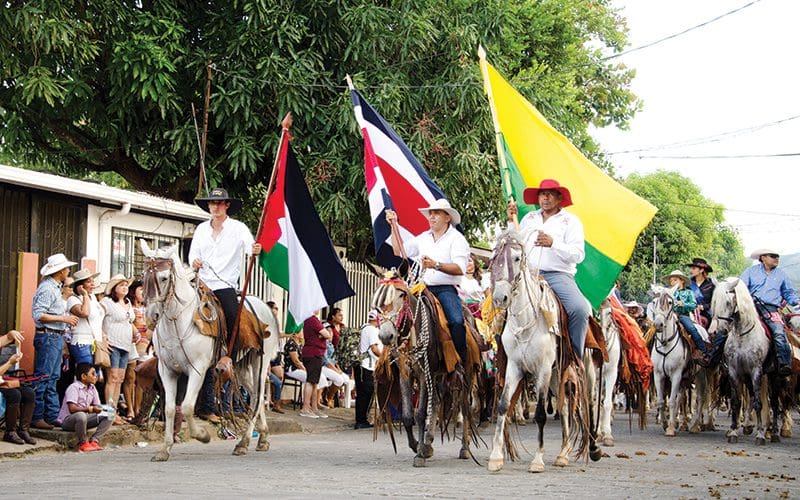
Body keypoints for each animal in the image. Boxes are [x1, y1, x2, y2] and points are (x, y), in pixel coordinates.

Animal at [136, 241, 276, 460]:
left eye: (164, 277)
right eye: (143, 276)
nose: (151, 316)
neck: (178, 321)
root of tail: (265, 307)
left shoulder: (198, 369)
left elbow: (186, 407)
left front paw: (202, 436)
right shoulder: (167, 371)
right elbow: (170, 409)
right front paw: (164, 449)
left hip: (260, 363)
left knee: (256, 396)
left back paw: (243, 443)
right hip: (240, 367)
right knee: (256, 396)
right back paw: (262, 437)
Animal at [370, 274, 478, 464]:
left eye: (401, 295)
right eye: (377, 300)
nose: (385, 336)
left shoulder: (423, 373)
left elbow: (420, 414)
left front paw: (420, 454)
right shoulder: (405, 373)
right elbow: (408, 415)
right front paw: (417, 446)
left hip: (466, 373)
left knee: (465, 407)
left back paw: (464, 448)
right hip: (438, 375)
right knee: (436, 402)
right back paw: (428, 442)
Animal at [484, 229, 596, 474]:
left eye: (517, 258)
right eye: (494, 259)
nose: (500, 298)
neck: (526, 322)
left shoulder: (542, 369)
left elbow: (541, 414)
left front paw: (537, 460)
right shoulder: (514, 367)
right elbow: (503, 405)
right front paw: (496, 457)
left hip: (575, 369)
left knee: (582, 402)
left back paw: (591, 448)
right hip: (556, 374)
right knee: (565, 407)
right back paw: (563, 454)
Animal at [708, 278, 772, 446]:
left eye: (728, 302)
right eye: (714, 302)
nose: (718, 331)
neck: (743, 335)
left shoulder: (756, 371)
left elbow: (758, 402)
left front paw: (760, 435)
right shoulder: (734, 371)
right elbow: (736, 401)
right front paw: (733, 431)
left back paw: (770, 430)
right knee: (750, 396)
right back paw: (747, 425)